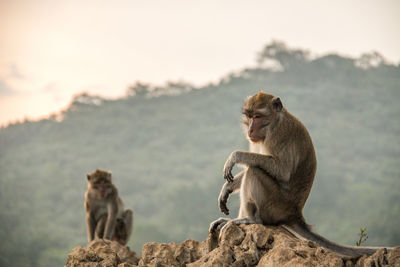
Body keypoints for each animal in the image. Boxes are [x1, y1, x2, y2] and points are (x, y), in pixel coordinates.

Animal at [209, 90, 394, 260]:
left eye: (258, 116)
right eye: (249, 117)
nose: (250, 129)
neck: (274, 122)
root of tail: (295, 214)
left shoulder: (279, 134)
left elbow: (281, 170)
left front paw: (235, 156)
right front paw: (227, 187)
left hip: (275, 206)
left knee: (254, 172)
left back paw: (251, 219)